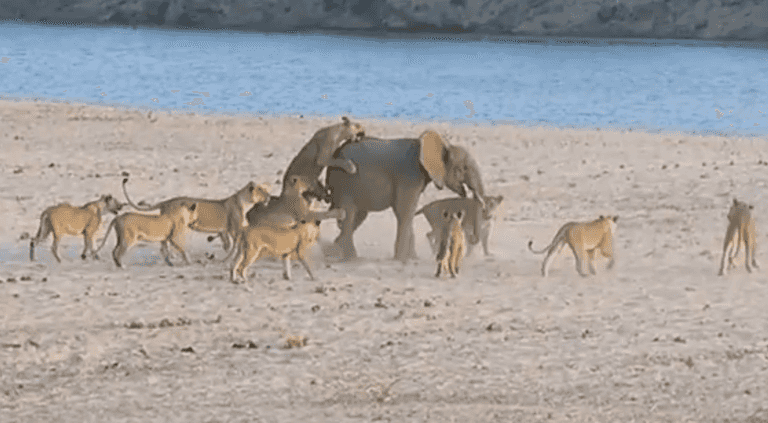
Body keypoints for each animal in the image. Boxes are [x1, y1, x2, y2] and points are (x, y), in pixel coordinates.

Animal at [122, 178, 270, 253]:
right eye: (261, 190)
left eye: (265, 189)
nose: (269, 196)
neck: (245, 201)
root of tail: (166, 202)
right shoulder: (233, 228)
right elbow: (235, 242)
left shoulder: (223, 230)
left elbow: (226, 244)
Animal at [325, 130, 486, 262]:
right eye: (464, 168)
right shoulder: (409, 175)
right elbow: (405, 210)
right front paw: (402, 260)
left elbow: (407, 212)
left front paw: (414, 259)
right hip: (345, 182)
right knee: (349, 215)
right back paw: (352, 258)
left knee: (358, 216)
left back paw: (332, 251)